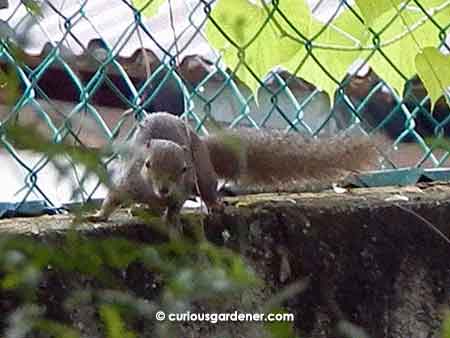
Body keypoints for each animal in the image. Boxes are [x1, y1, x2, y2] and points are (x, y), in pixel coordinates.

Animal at [87, 112, 376, 236]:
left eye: (183, 169)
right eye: (147, 164)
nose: (164, 189)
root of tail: (202, 145)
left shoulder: (183, 188)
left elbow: (176, 207)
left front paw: (173, 220)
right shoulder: (127, 181)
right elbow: (112, 198)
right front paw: (98, 216)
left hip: (204, 176)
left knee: (207, 190)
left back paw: (212, 205)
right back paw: (141, 209)